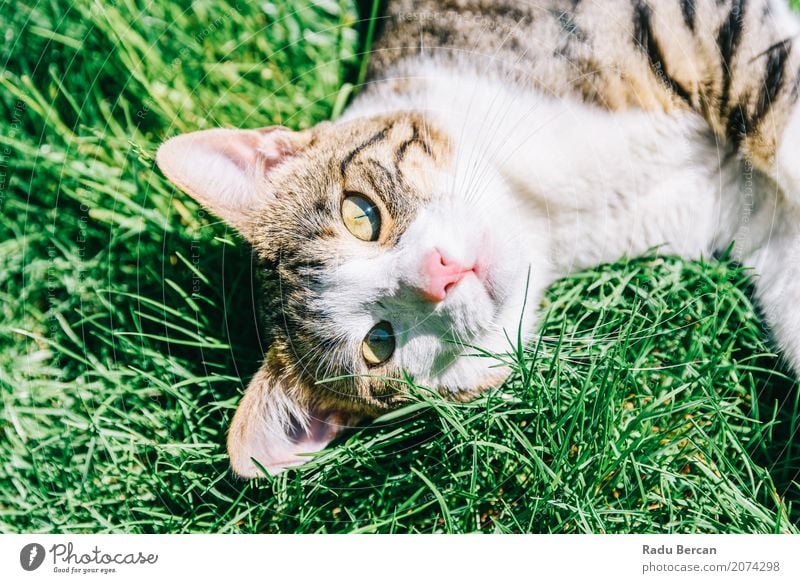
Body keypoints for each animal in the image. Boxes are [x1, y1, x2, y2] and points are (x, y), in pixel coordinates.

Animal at [156, 0, 800, 476]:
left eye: (361, 215)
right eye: (379, 343)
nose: (442, 271)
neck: (545, 214)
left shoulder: (678, 23)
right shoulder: (744, 214)